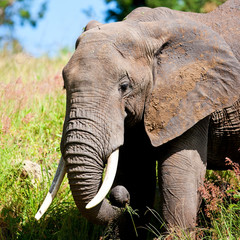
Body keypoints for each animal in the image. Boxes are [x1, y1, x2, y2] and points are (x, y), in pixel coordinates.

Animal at [36, 0, 240, 238]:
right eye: (64, 85)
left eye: (124, 86)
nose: (119, 196)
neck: (145, 29)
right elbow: (136, 174)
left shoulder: (192, 97)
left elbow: (180, 173)